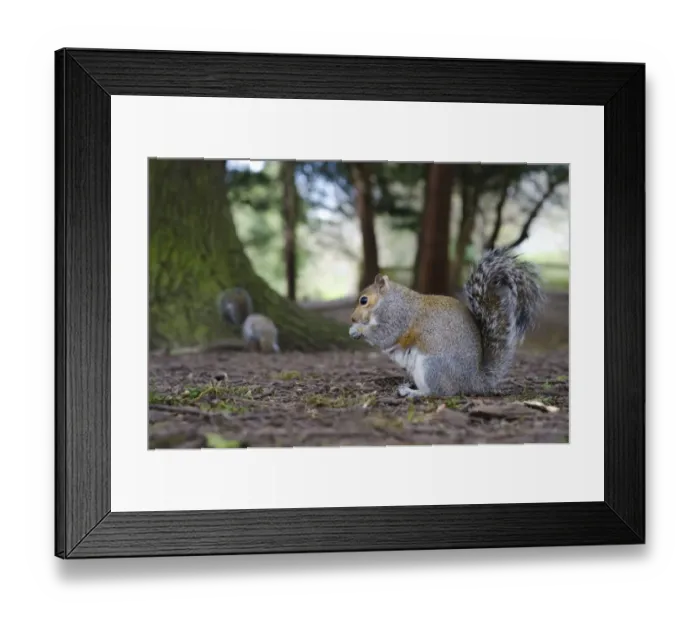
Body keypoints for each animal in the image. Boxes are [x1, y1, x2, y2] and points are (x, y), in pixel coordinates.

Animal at [348, 247, 545, 398]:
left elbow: (384, 335)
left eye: (364, 300)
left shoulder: (397, 317)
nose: (352, 318)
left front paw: (357, 329)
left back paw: (414, 393)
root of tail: (473, 381)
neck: (389, 300)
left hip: (431, 366)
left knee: (440, 393)